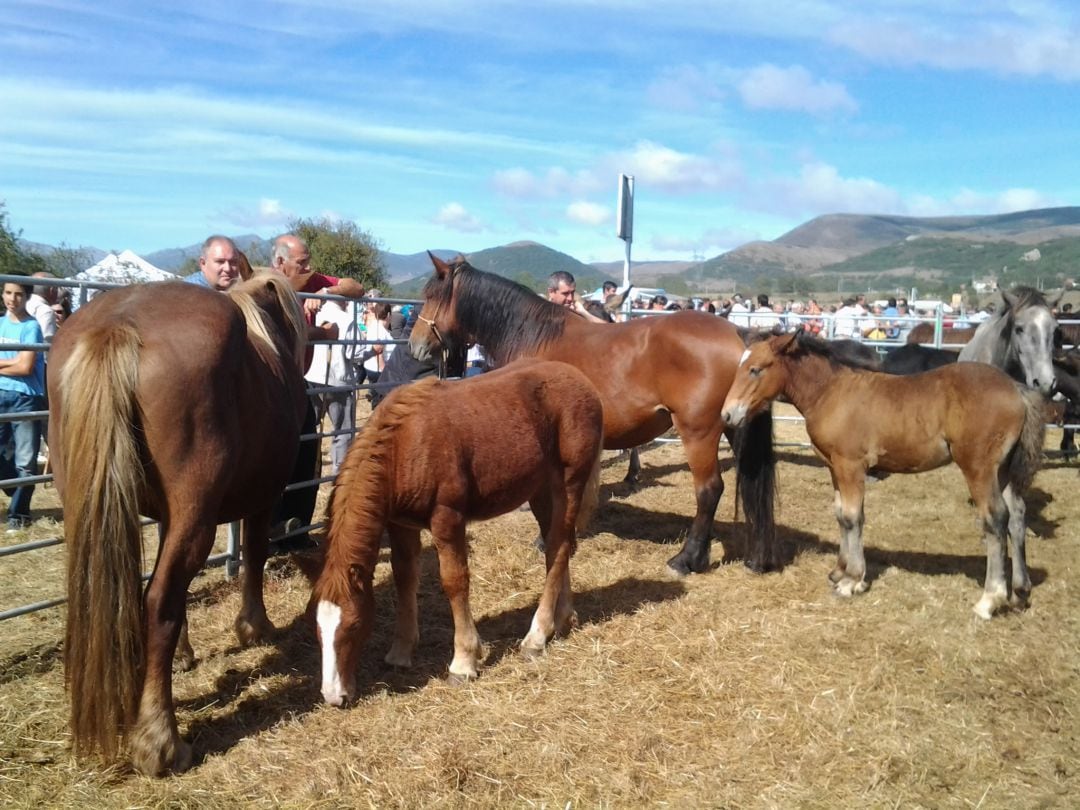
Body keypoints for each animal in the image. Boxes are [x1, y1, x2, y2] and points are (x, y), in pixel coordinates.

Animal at [50, 274, 308, 781]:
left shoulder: (169, 515)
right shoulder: (261, 498)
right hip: (196, 516)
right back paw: (160, 741)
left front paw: (187, 653)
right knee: (158, 604)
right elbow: (254, 556)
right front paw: (254, 627)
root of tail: (117, 325)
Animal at [308, 358, 604, 708]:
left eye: (353, 625)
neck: (404, 445)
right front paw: (401, 651)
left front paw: (463, 662)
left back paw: (537, 635)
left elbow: (454, 581)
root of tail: (579, 379)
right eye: (317, 628)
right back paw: (563, 619)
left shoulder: (447, 519)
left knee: (558, 546)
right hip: (541, 489)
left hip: (569, 483)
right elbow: (404, 578)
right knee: (560, 545)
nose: (333, 696)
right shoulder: (400, 524)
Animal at [406, 253, 777, 578]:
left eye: (430, 296)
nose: (414, 347)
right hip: (734, 427)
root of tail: (738, 336)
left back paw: (686, 559)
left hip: (698, 431)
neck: (534, 337)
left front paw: (547, 541)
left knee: (709, 490)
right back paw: (757, 558)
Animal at [717, 332, 1045, 617]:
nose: (727, 414)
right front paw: (839, 571)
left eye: (755, 369)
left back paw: (990, 600)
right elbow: (842, 515)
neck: (831, 393)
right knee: (1017, 515)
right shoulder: (835, 467)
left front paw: (852, 580)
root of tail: (1017, 388)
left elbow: (853, 517)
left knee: (995, 519)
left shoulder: (851, 466)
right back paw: (1020, 592)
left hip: (979, 468)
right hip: (1003, 470)